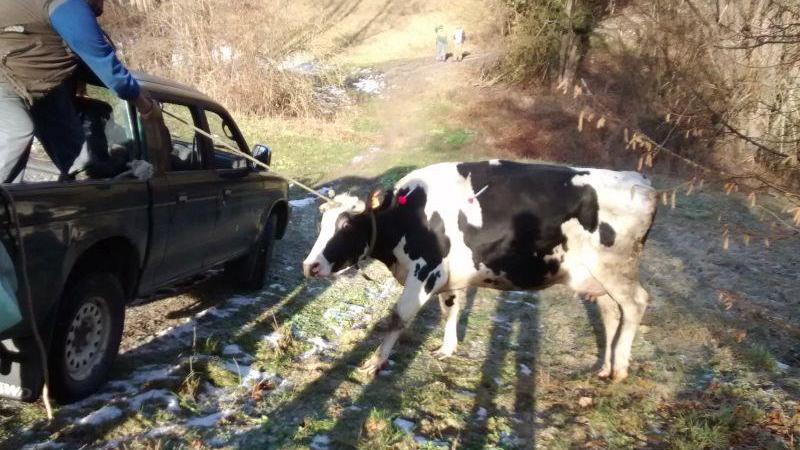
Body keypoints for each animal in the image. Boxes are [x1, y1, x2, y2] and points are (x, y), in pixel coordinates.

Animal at [302, 160, 657, 382]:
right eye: (320, 224)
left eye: (347, 225)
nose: (310, 266)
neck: (406, 216)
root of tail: (639, 181)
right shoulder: (448, 277)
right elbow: (451, 309)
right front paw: (447, 349)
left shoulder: (425, 272)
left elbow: (397, 318)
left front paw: (374, 363)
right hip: (597, 276)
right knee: (611, 312)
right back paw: (605, 367)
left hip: (616, 268)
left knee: (635, 304)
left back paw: (620, 368)